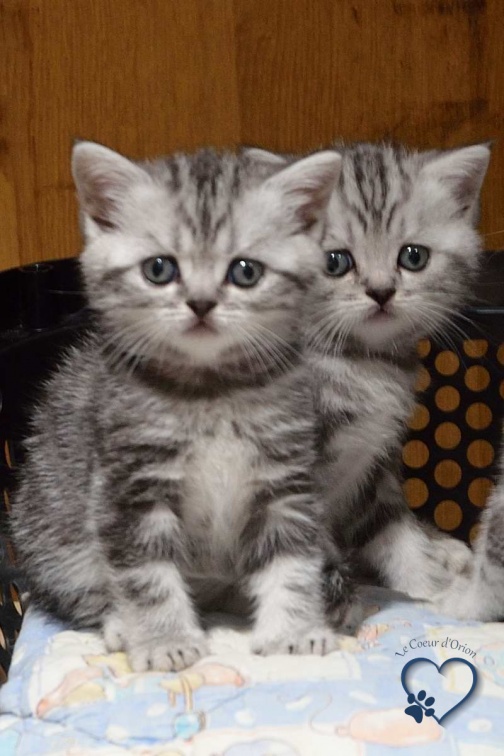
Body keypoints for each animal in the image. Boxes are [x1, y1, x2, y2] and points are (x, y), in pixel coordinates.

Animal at [11, 139, 350, 672]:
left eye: (245, 271)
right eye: (159, 269)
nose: (202, 303)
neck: (210, 391)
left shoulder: (285, 479)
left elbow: (293, 560)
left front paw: (293, 631)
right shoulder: (127, 486)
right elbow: (145, 574)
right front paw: (164, 641)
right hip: (47, 530)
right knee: (79, 589)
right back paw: (118, 625)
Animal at [250, 142, 490, 600]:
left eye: (413, 257)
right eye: (335, 262)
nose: (381, 291)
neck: (363, 365)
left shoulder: (378, 465)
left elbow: (392, 529)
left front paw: (428, 593)